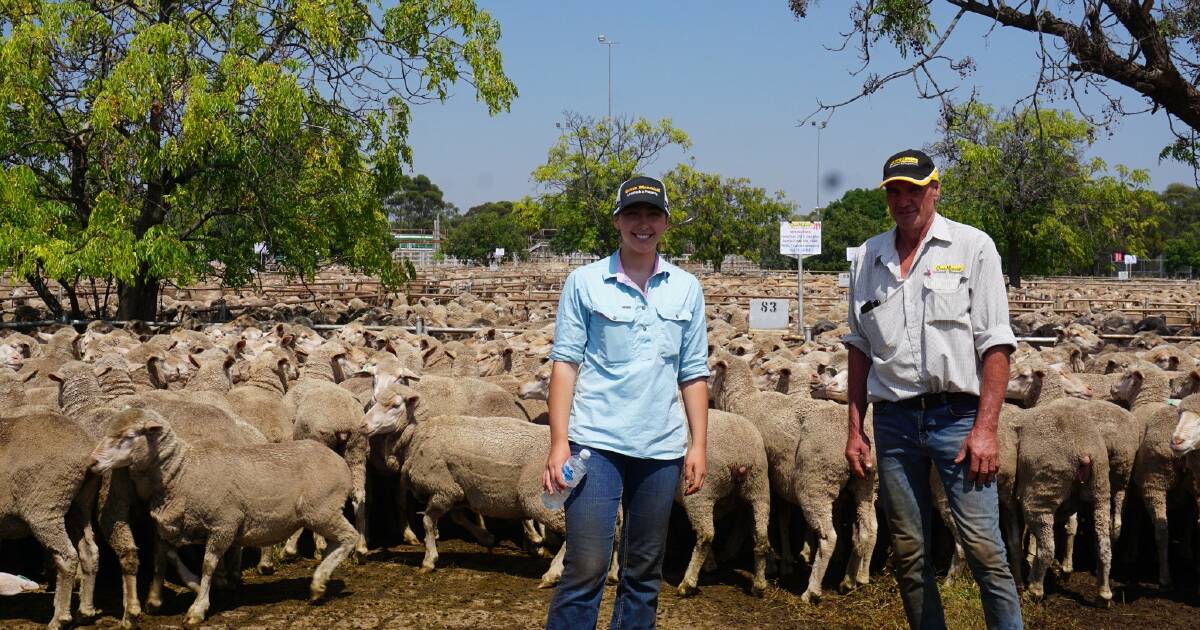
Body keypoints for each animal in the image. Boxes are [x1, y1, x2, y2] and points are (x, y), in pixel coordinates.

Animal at [89, 408, 364, 624]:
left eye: (128, 436)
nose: (92, 463)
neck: (183, 471)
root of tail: (339, 462)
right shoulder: (174, 525)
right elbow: (163, 558)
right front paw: (160, 598)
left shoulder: (223, 524)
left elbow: (208, 564)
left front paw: (198, 608)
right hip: (320, 514)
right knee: (337, 542)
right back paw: (320, 581)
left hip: (322, 510)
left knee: (349, 537)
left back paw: (319, 581)